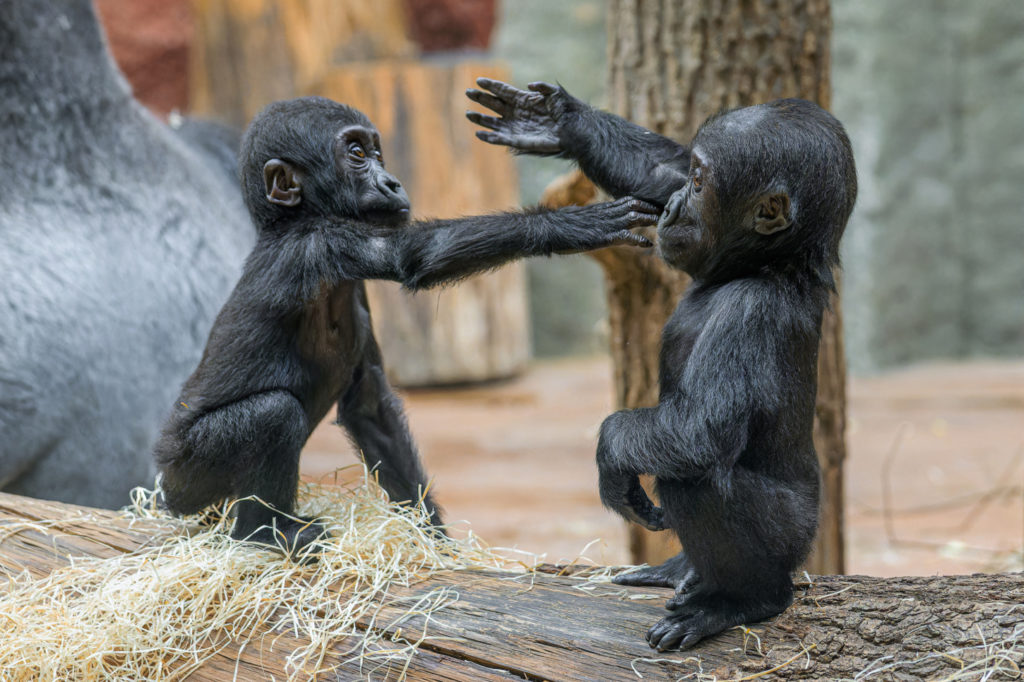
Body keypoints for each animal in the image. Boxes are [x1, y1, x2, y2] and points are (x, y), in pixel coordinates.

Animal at [157, 95, 655, 552]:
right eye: (357, 154)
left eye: (377, 152)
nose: (391, 181)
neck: (291, 219)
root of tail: (164, 492)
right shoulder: (320, 244)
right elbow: (414, 255)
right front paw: (570, 225)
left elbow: (372, 408)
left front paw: (433, 540)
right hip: (188, 474)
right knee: (271, 414)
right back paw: (264, 534)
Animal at [468, 79, 856, 647]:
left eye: (698, 185)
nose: (673, 205)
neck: (766, 264)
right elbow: (658, 166)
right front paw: (558, 120)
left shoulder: (751, 312)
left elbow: (700, 430)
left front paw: (611, 456)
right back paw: (681, 569)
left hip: (791, 537)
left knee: (692, 478)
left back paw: (741, 601)